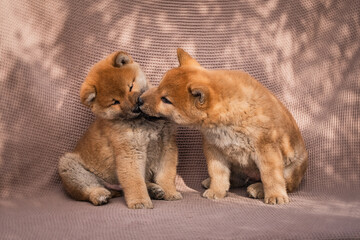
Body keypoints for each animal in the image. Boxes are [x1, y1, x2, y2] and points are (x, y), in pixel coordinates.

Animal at [60, 51, 183, 209]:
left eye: (130, 86)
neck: (145, 120)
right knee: (88, 188)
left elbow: (166, 175)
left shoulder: (167, 147)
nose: (135, 107)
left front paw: (170, 192)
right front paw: (140, 201)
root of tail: (114, 188)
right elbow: (135, 181)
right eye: (115, 102)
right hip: (69, 166)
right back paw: (99, 194)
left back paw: (154, 189)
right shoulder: (130, 152)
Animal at [139, 48, 308, 204]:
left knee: (284, 183)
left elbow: (271, 177)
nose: (140, 100)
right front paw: (216, 190)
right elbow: (218, 174)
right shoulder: (214, 149)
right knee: (237, 179)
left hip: (291, 167)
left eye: (165, 100)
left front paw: (275, 195)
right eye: (158, 87)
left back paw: (258, 188)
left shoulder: (266, 149)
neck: (229, 115)